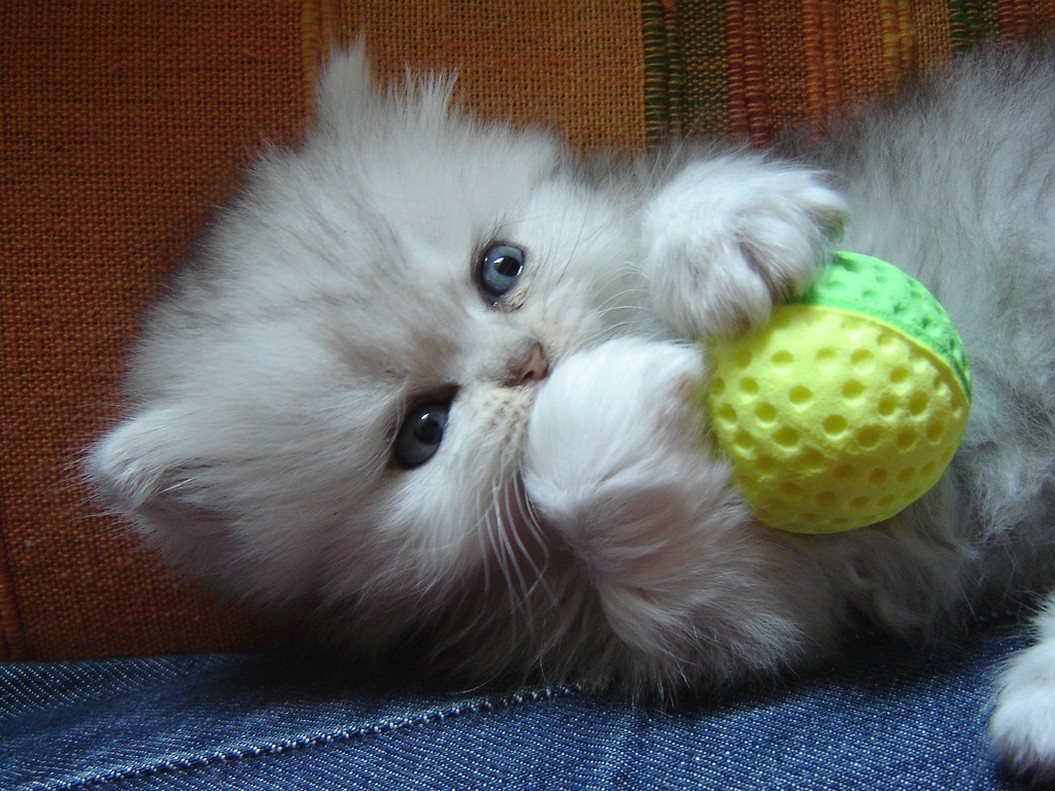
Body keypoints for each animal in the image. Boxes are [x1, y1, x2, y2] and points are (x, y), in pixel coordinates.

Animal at [88, 40, 1055, 776]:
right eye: (423, 430)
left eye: (501, 268)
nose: (531, 362)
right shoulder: (752, 609)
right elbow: (634, 528)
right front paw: (612, 394)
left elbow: (662, 209)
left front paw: (718, 231)